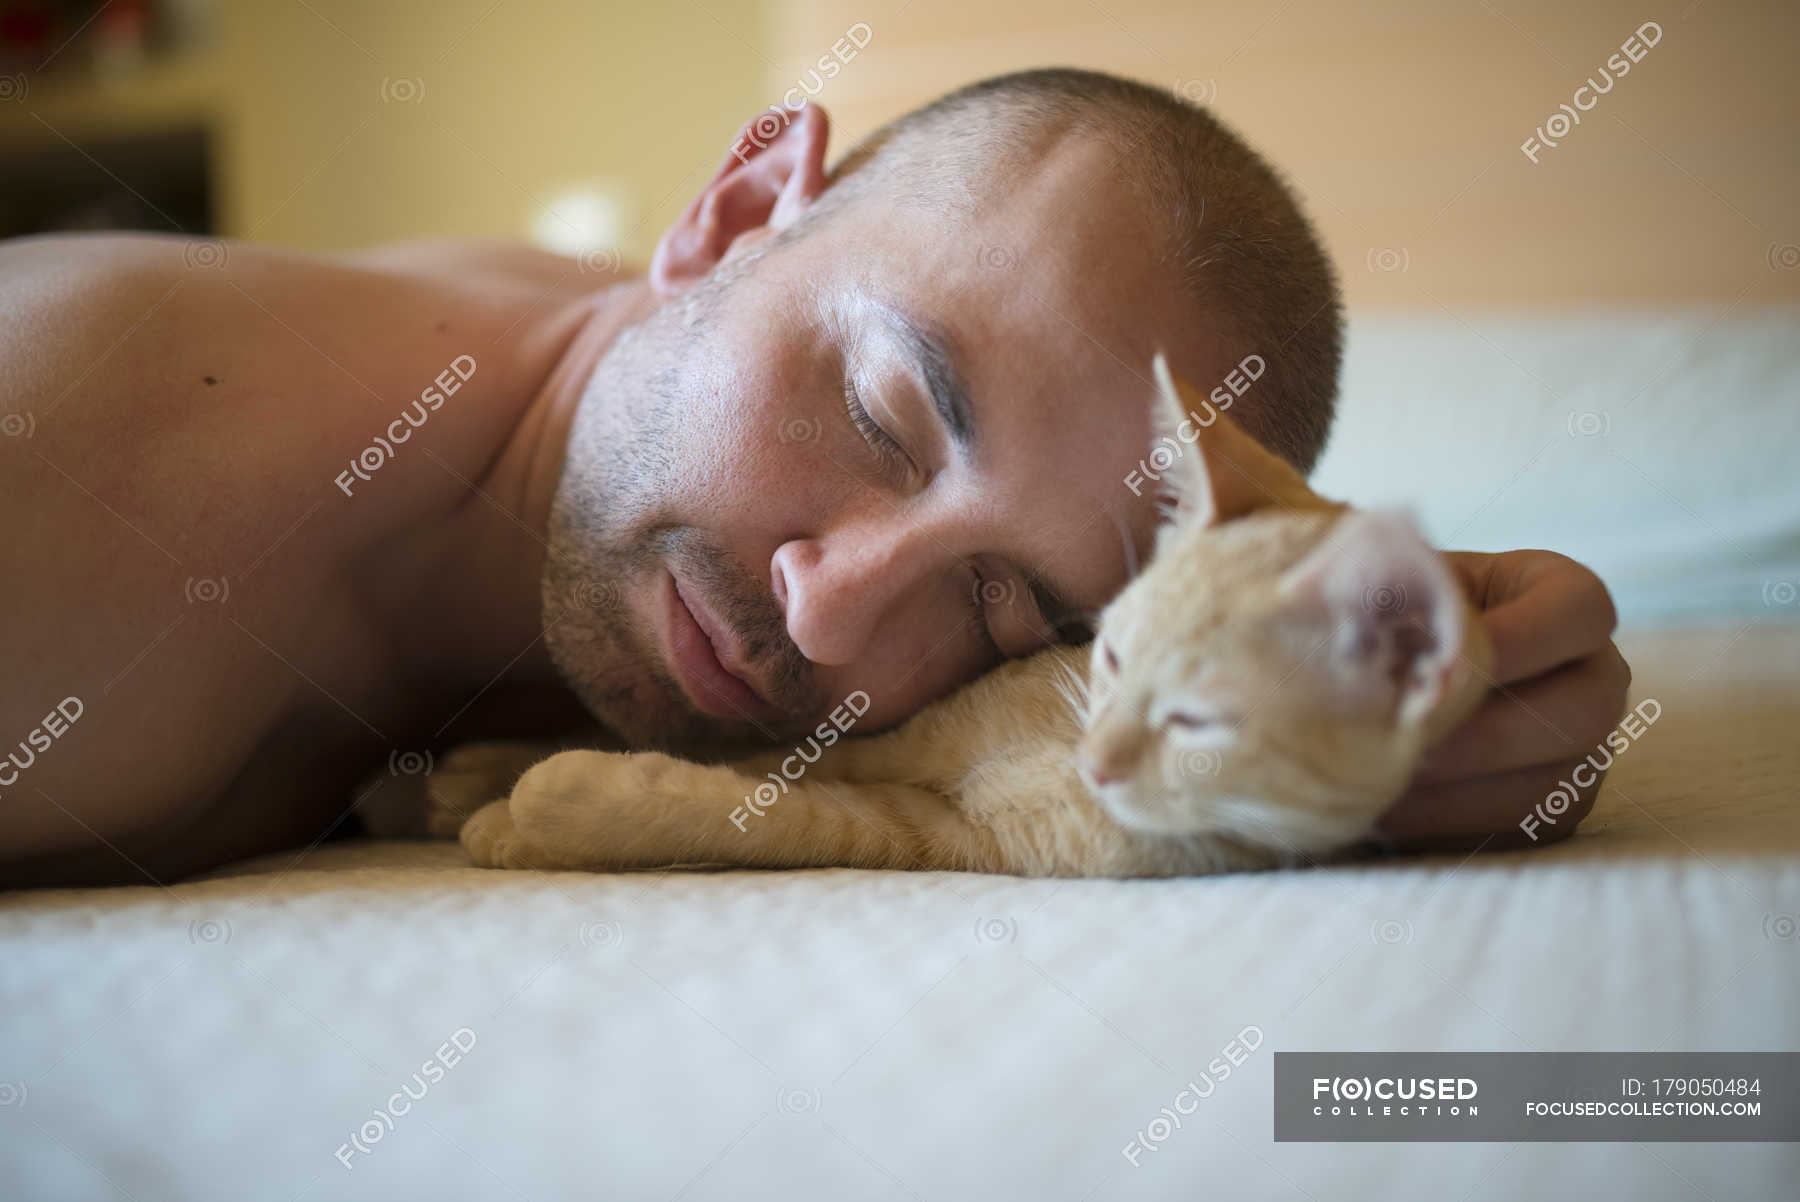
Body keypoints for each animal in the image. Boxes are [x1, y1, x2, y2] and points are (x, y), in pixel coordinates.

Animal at [424, 352, 1490, 878]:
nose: (1098, 756)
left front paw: (541, 814)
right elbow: (762, 755)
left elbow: (762, 812)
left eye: (1200, 723)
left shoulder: (937, 833)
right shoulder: (904, 738)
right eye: (1108, 656)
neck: (1051, 752)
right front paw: (502, 786)